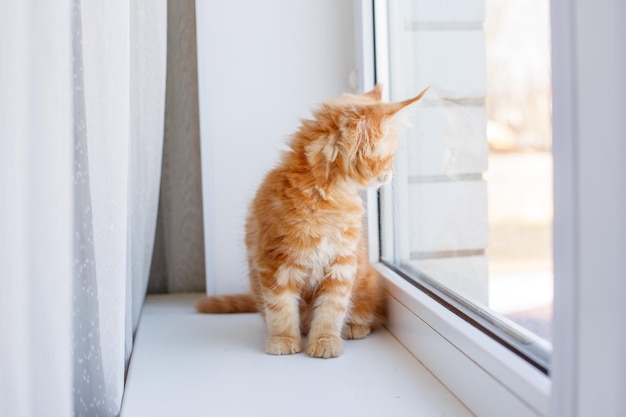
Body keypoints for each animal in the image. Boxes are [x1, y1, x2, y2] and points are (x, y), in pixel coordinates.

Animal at [197, 84, 426, 358]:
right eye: (391, 156)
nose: (392, 173)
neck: (323, 195)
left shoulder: (342, 263)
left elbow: (331, 309)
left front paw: (325, 340)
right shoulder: (276, 262)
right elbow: (280, 308)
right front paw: (283, 339)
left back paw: (354, 327)